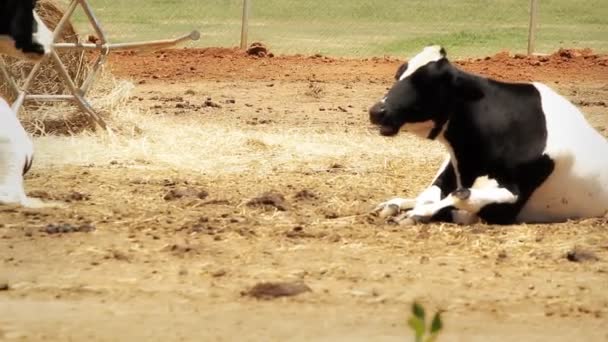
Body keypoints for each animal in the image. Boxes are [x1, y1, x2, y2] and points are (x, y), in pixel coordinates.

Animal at [368, 46, 608, 227]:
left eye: (426, 82)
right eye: (399, 75)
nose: (376, 111)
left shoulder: (504, 208)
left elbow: (459, 198)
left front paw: (417, 214)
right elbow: (435, 194)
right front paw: (402, 208)